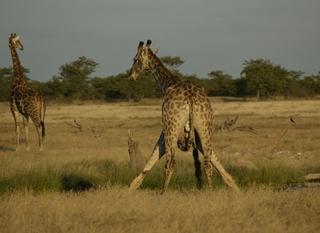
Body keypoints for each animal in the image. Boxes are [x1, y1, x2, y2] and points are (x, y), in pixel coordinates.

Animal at [127, 40, 240, 193]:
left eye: (135, 59)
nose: (130, 75)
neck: (168, 83)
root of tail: (191, 99)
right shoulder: (195, 138)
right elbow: (217, 164)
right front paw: (236, 189)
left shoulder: (165, 130)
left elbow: (152, 158)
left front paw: (131, 188)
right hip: (205, 126)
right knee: (207, 163)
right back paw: (210, 191)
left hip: (172, 128)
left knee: (171, 162)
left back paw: (163, 193)